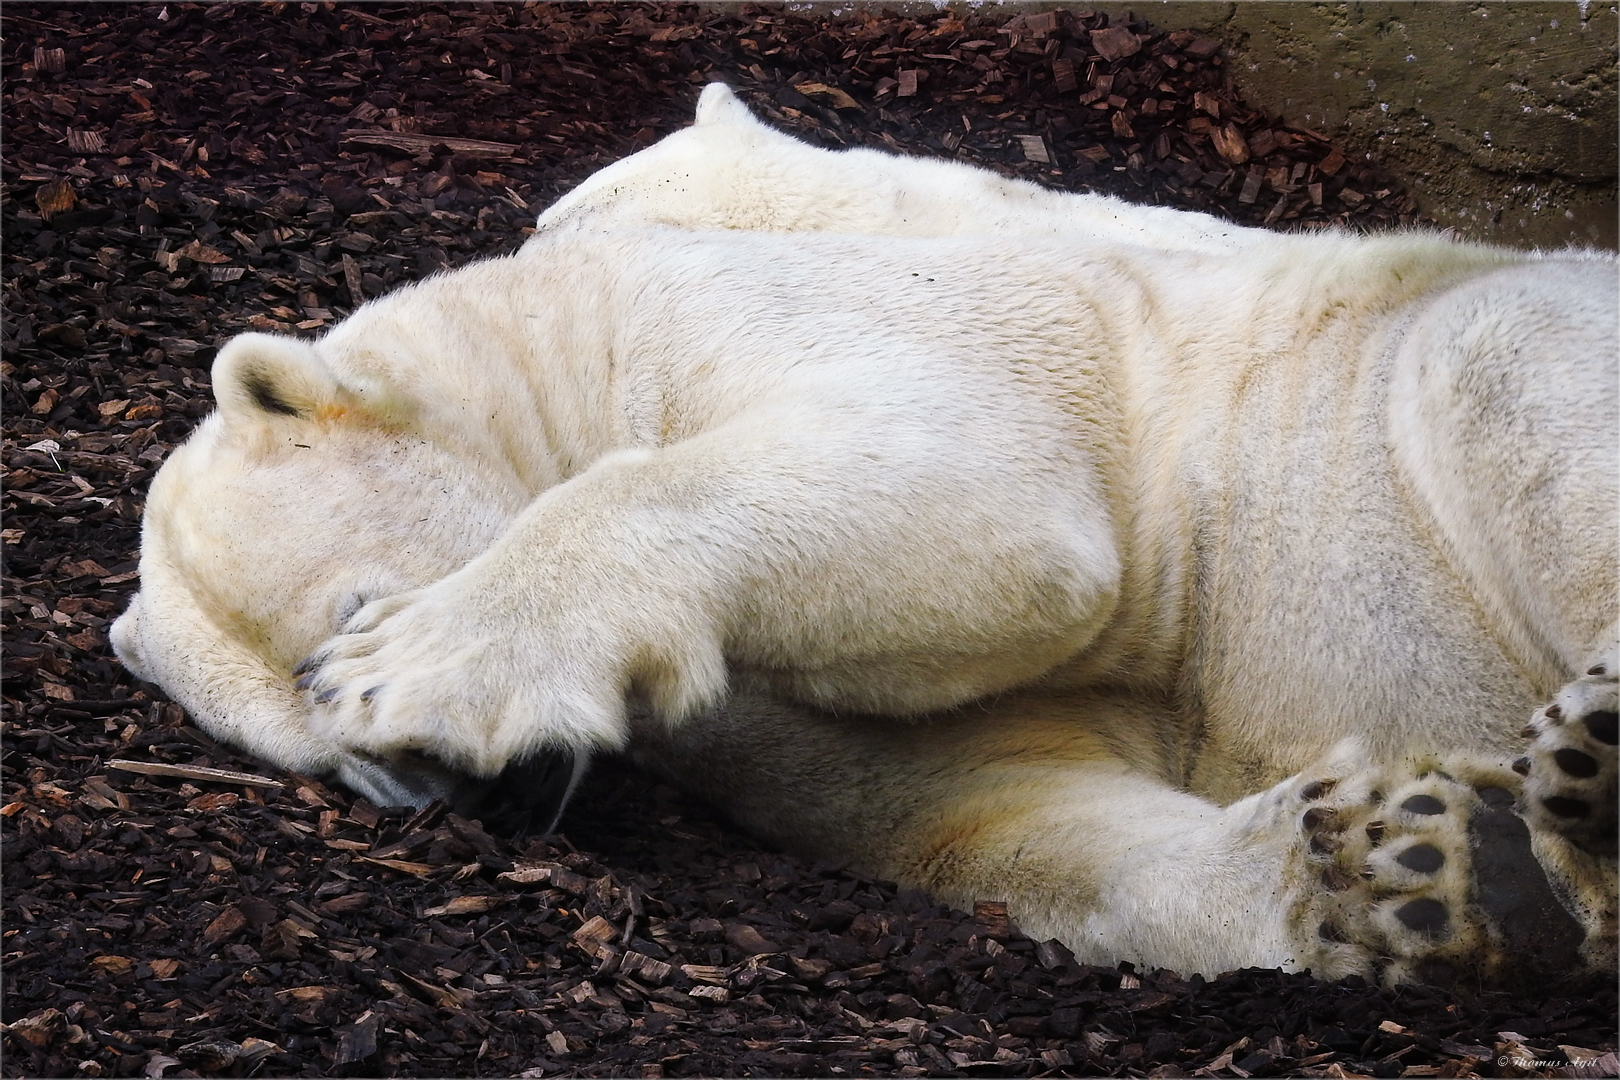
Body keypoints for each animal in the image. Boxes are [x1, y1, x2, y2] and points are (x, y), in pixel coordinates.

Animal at [107, 86, 1613, 990]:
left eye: (349, 618)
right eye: (340, 778)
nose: (463, 790)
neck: (556, 343)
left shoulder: (764, 312)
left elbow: (973, 482)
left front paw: (432, 662)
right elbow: (992, 799)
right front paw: (1397, 871)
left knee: (1493, 372)